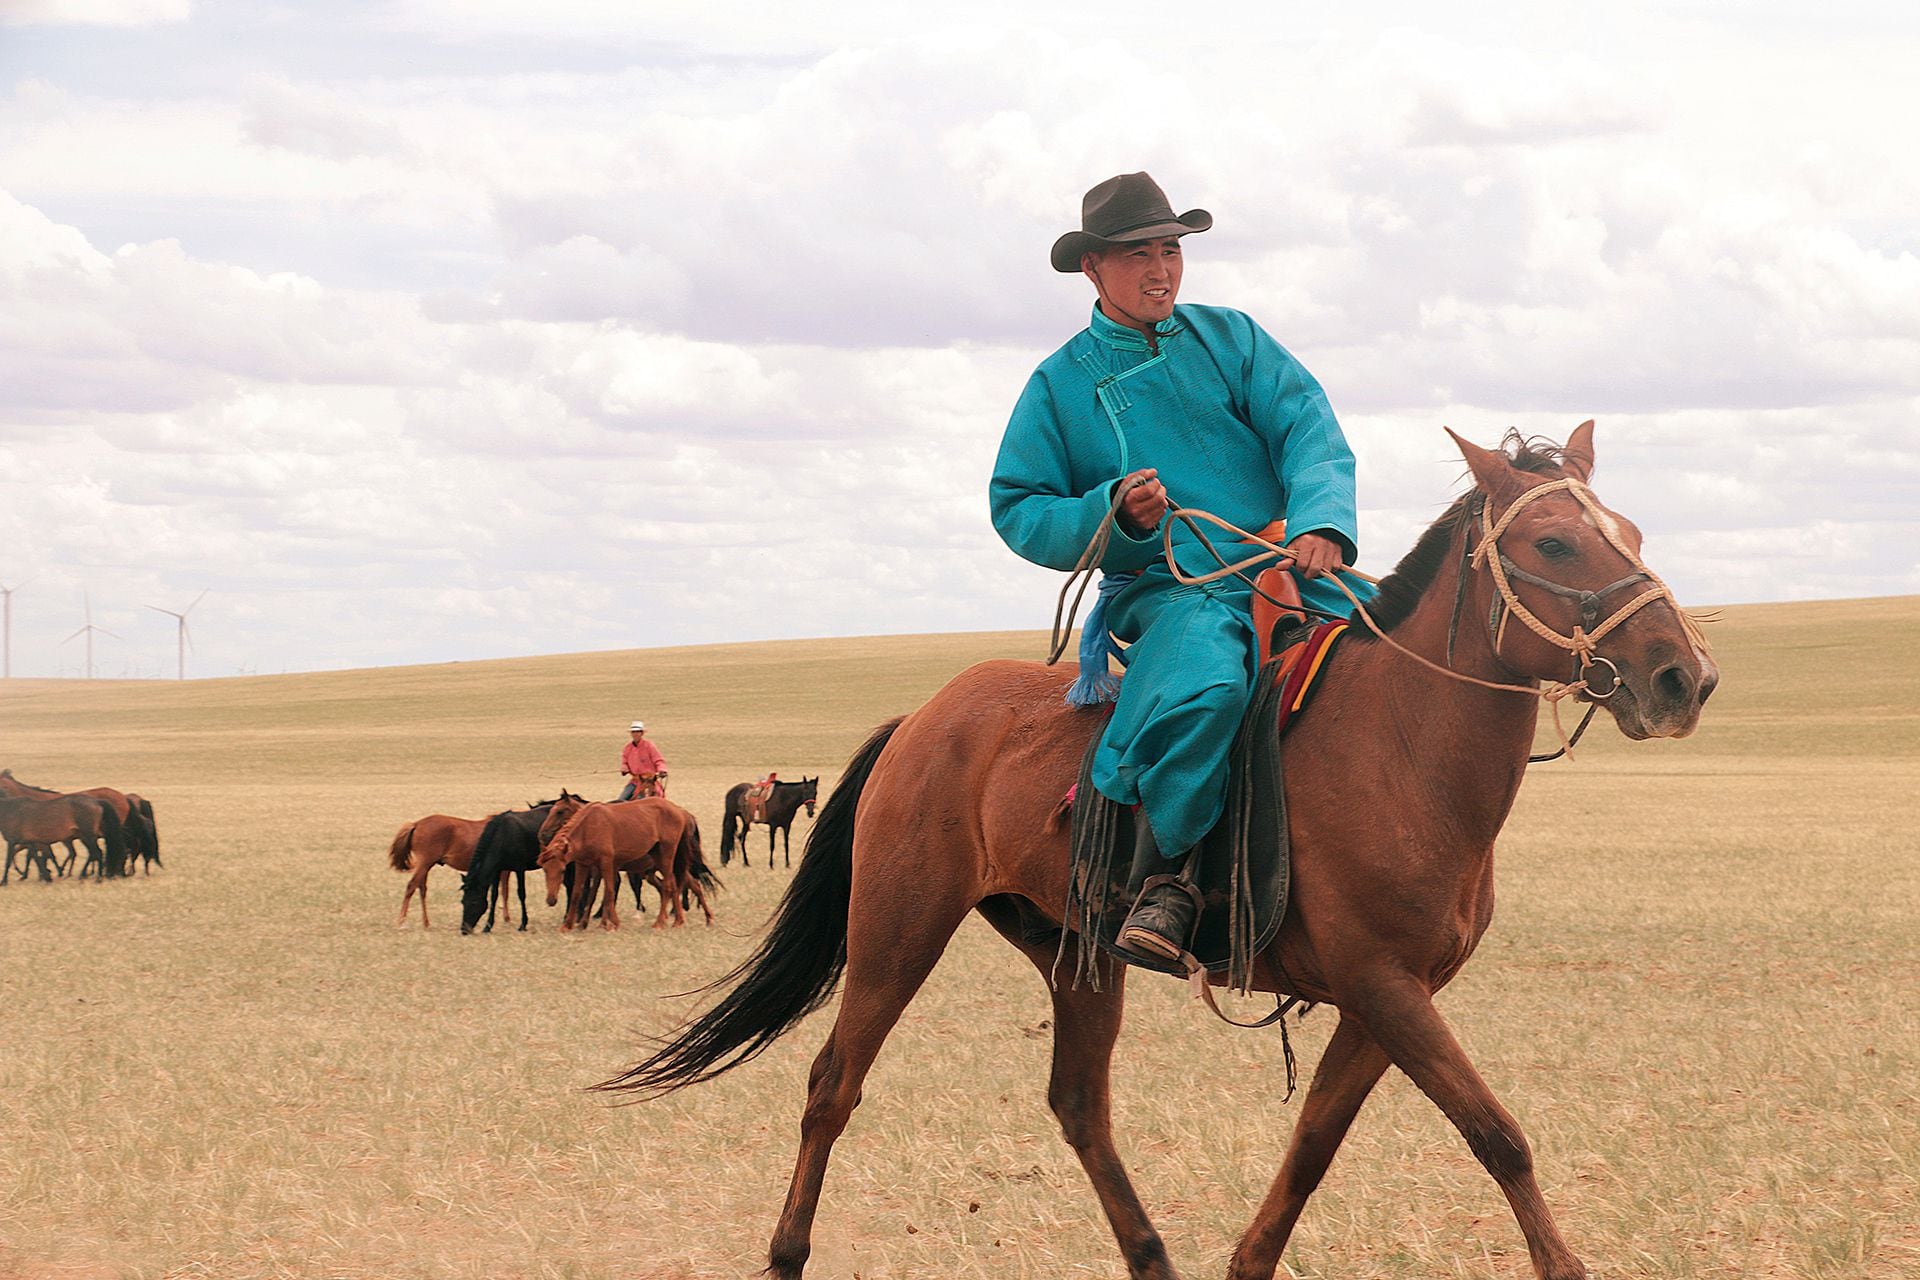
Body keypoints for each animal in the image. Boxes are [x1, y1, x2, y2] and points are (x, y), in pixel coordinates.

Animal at [537, 790, 718, 932]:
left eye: (560, 811)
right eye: (545, 870)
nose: (542, 834)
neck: (588, 827)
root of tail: (681, 813)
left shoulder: (607, 864)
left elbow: (608, 892)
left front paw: (611, 923)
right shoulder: (585, 865)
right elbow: (578, 893)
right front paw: (570, 925)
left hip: (667, 857)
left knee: (673, 886)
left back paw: (664, 922)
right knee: (678, 886)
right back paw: (681, 920)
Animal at [606, 427, 1720, 1280]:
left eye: (1627, 534)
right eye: (1553, 542)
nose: (1683, 677)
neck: (1401, 746)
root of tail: (923, 717)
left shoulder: (1387, 997)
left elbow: (1314, 1147)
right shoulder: (1384, 984)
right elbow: (1498, 1134)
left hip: (1075, 952)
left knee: (1078, 1105)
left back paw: (1150, 1254)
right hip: (896, 929)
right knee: (833, 1082)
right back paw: (787, 1253)